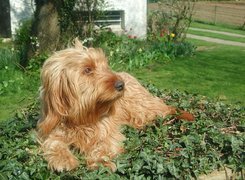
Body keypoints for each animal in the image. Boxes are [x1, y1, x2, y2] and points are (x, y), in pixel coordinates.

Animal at [37, 39, 193, 172]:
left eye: (105, 65)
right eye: (87, 69)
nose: (121, 85)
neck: (83, 117)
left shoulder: (108, 131)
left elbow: (104, 144)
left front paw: (101, 161)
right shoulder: (52, 129)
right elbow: (54, 142)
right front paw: (63, 159)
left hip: (141, 110)